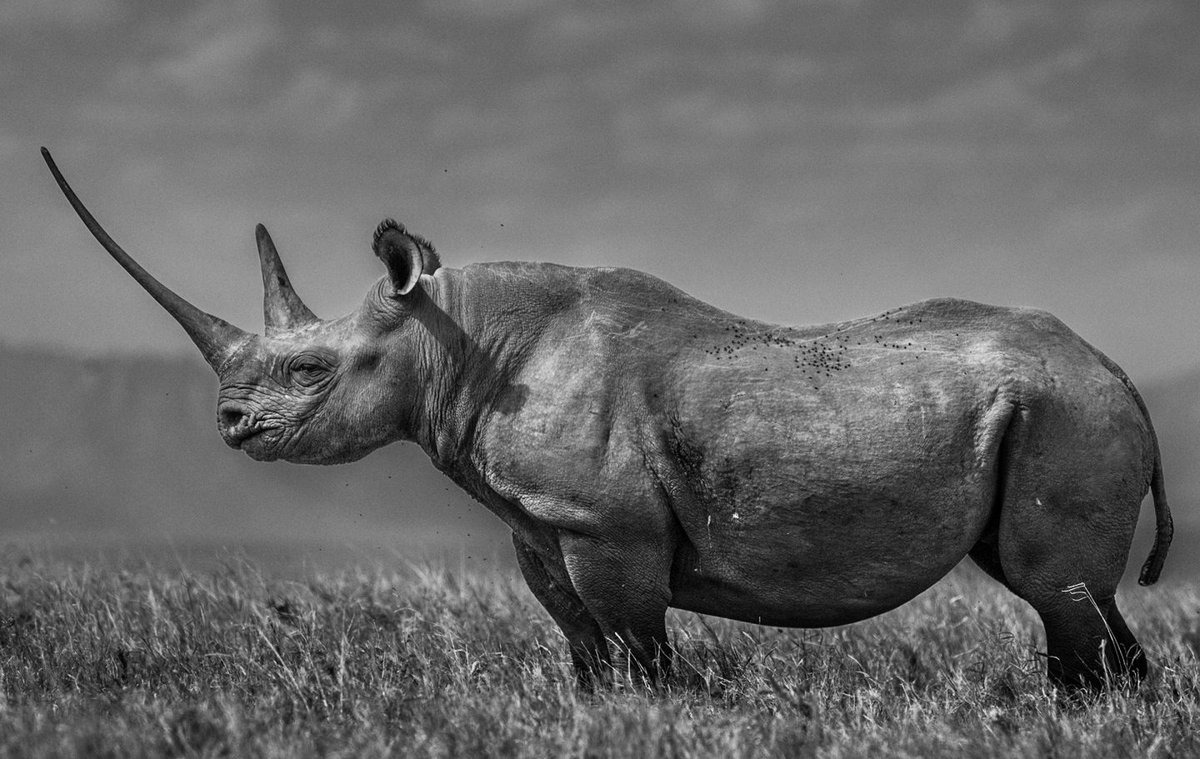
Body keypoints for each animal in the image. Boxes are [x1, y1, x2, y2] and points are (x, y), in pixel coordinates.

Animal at [42, 148, 1172, 691]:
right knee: (1056, 588)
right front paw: (599, 708)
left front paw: (656, 710)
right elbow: (583, 639)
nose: (230, 426)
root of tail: (1120, 372)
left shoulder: (607, 525)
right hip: (1055, 407)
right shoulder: (548, 520)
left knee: (1051, 583)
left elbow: (634, 640)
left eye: (311, 369)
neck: (454, 341)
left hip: (1067, 412)